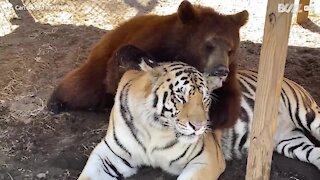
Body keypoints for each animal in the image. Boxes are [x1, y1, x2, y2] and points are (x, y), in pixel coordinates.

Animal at [48, 0, 248, 129]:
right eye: (208, 45)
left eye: (231, 49)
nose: (221, 70)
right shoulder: (154, 42)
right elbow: (121, 73)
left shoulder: (231, 75)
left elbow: (228, 105)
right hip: (100, 60)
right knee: (84, 88)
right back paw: (56, 101)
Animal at [78, 45, 225, 179]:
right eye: (180, 97)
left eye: (205, 99)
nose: (199, 126)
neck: (154, 129)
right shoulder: (109, 153)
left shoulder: (206, 158)